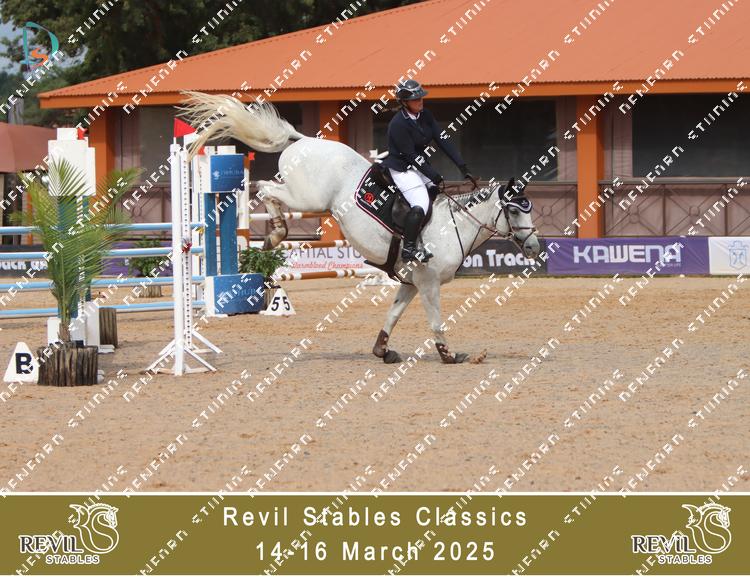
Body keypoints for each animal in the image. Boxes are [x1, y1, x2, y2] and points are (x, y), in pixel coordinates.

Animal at [179, 91, 541, 364]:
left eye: (530, 209)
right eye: (513, 210)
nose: (535, 247)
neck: (454, 224)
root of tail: (302, 140)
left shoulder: (410, 281)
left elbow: (393, 314)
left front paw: (382, 350)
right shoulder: (428, 283)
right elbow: (437, 321)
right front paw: (448, 354)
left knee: (267, 190)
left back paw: (275, 234)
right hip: (308, 198)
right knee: (266, 189)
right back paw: (277, 232)